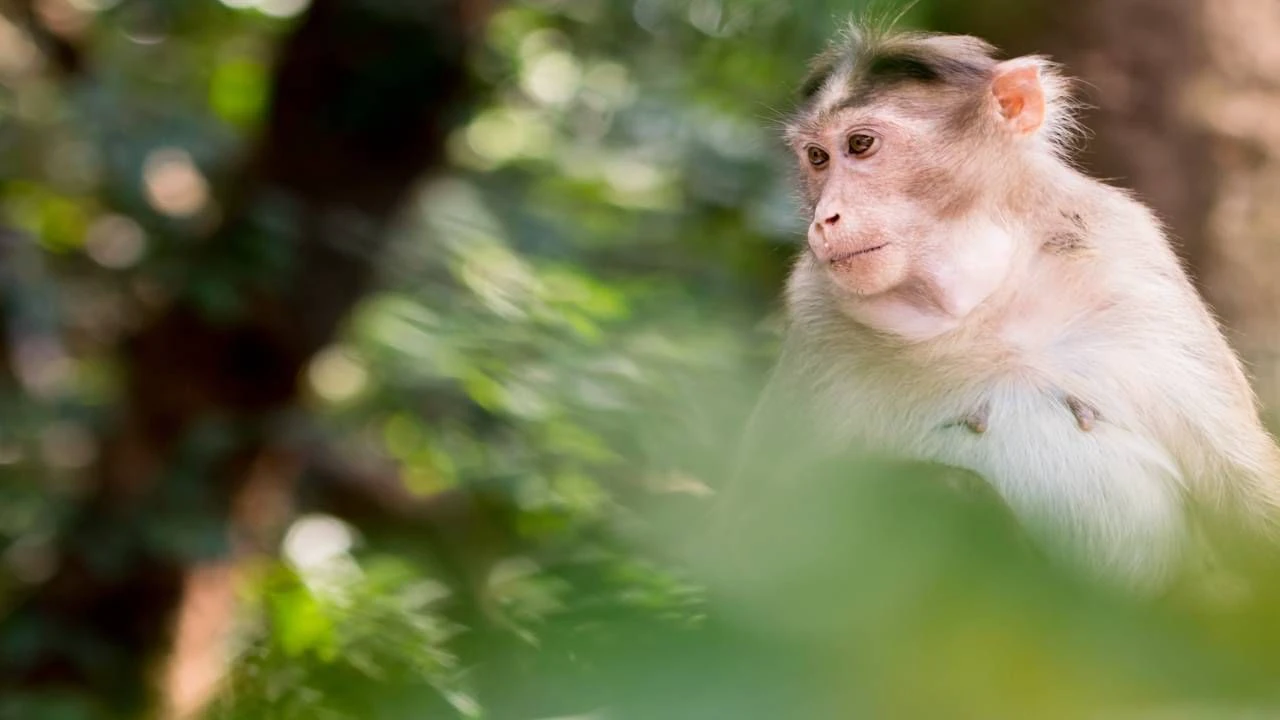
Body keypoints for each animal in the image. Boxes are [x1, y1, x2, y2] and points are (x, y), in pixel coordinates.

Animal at [732, 22, 1280, 594]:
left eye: (860, 145)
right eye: (817, 157)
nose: (826, 218)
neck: (982, 298)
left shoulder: (1133, 261)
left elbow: (1246, 496)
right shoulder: (814, 309)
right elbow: (753, 541)